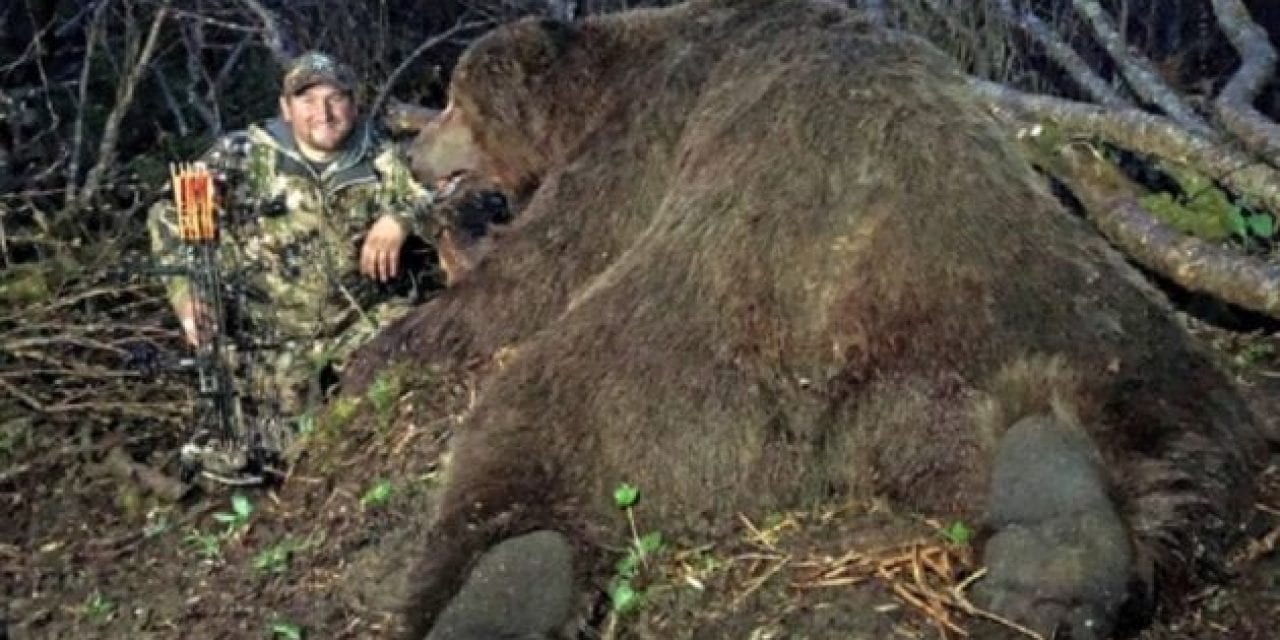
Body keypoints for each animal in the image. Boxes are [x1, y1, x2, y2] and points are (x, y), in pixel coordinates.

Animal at [350, 2, 1269, 637]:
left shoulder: (643, 133)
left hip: (668, 336)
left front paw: (390, 342)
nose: (411, 148)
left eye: (454, 102)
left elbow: (550, 260)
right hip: (1031, 303)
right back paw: (1058, 537)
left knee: (520, 421)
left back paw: (489, 591)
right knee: (1166, 417)